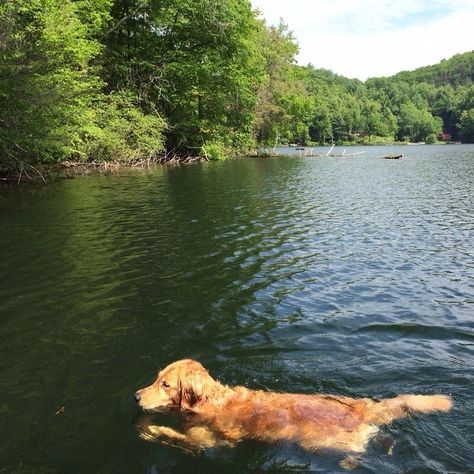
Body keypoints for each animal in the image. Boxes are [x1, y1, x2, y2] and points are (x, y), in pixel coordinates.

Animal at [135, 362, 454, 458]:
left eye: (165, 385)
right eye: (156, 377)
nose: (136, 396)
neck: (211, 402)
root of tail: (362, 406)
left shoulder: (211, 442)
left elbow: (174, 434)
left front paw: (149, 429)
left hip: (323, 443)